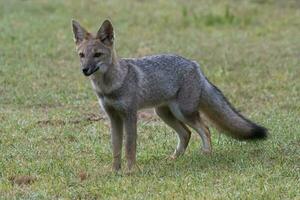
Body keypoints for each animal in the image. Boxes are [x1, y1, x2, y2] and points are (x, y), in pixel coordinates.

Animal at [72, 19, 268, 172]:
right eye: (82, 55)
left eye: (97, 55)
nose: (85, 70)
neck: (110, 86)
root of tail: (194, 64)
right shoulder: (113, 118)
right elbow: (116, 148)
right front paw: (115, 171)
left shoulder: (130, 115)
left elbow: (129, 147)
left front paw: (130, 171)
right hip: (164, 113)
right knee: (187, 133)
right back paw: (174, 159)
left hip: (183, 112)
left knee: (204, 129)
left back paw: (206, 155)